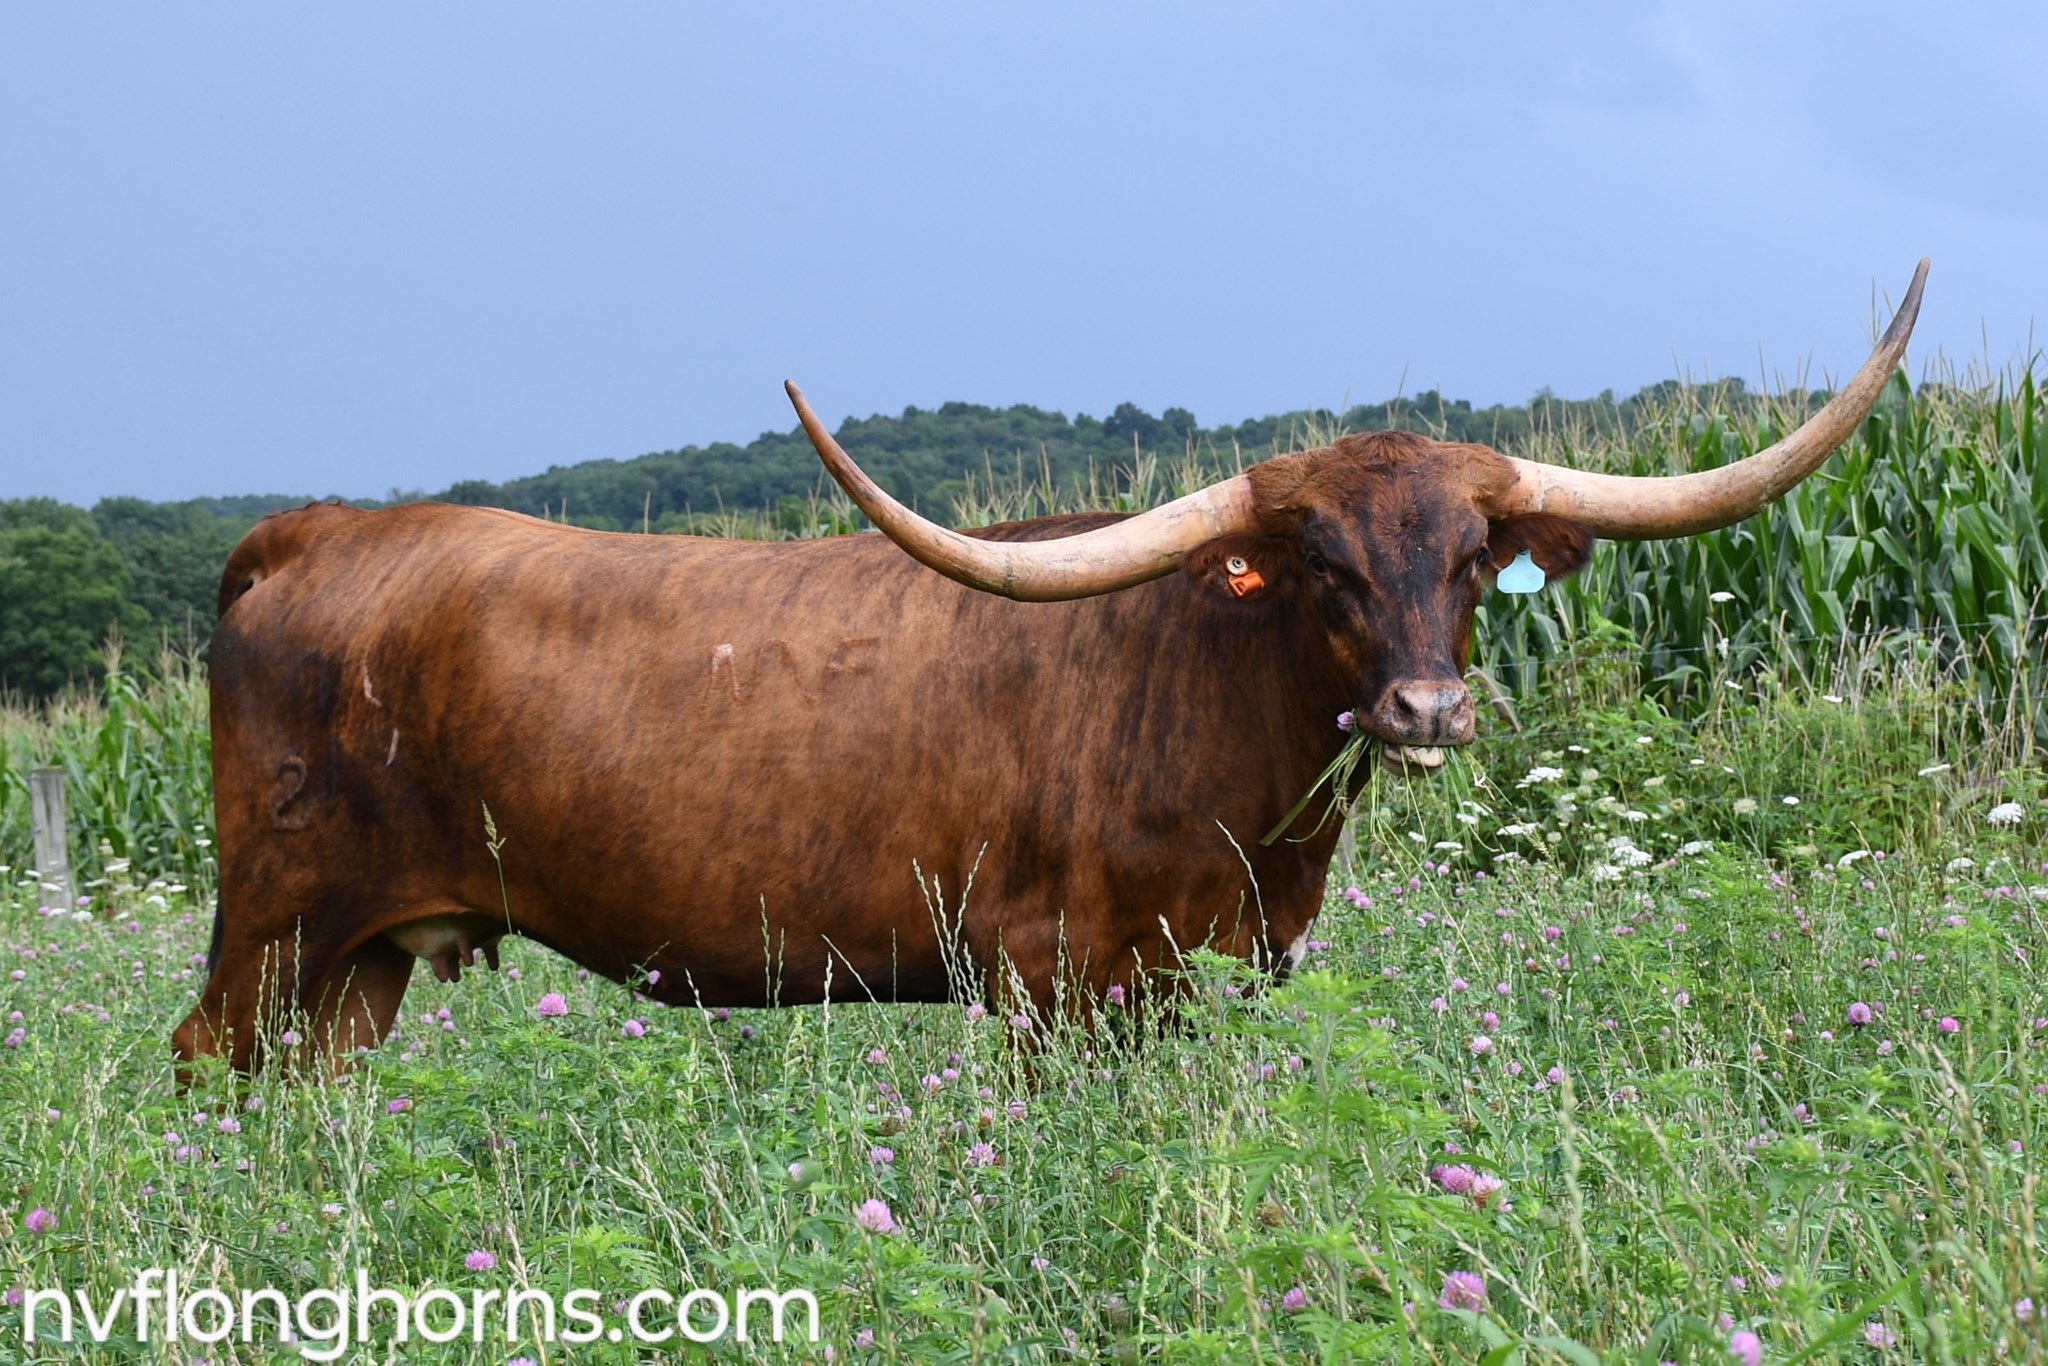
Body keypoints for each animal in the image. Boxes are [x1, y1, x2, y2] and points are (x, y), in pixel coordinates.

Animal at [173, 261, 1926, 1078]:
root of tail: (317, 529)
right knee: (211, 1065)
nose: (1427, 707)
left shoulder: (1186, 976)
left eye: (1468, 559)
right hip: (275, 915)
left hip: (363, 955)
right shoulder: (1049, 978)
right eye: (1322, 565)